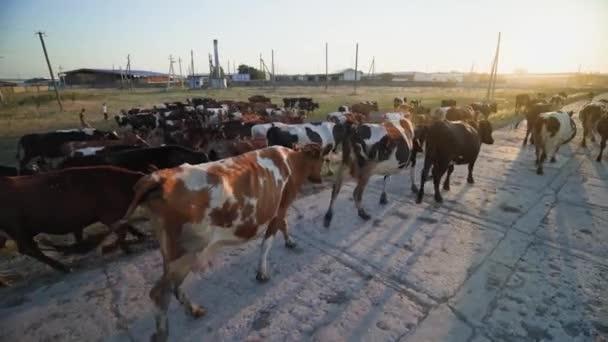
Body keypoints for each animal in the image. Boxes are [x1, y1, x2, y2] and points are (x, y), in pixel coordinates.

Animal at [0, 166, 147, 272]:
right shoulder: (109, 215)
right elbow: (122, 230)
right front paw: (123, 249)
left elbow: (127, 225)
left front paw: (141, 235)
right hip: (18, 230)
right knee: (29, 249)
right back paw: (64, 268)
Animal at [108, 145, 328, 342]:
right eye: (323, 159)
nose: (322, 178)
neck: (292, 161)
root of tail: (160, 177)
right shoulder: (280, 207)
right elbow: (269, 241)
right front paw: (262, 272)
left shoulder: (279, 210)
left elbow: (284, 225)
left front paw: (290, 241)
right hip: (187, 252)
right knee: (159, 293)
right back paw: (162, 333)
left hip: (173, 254)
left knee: (175, 287)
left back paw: (194, 310)